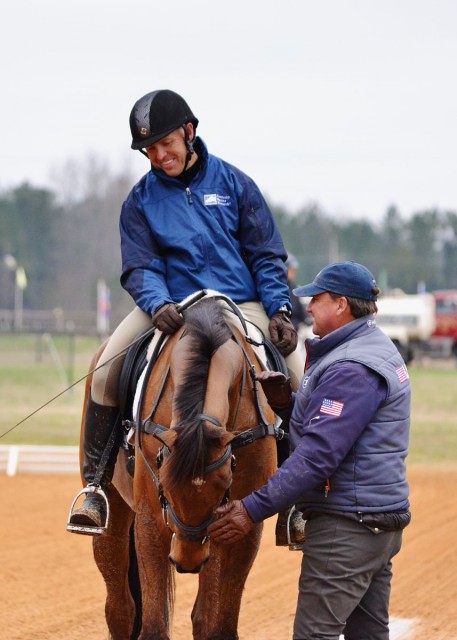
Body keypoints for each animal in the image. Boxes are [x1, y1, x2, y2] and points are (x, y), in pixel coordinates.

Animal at [77, 298, 280, 636]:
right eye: (165, 489)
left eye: (224, 490)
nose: (187, 561)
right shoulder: (150, 518)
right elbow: (153, 626)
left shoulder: (241, 524)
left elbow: (220, 624)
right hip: (113, 512)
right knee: (120, 610)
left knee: (202, 615)